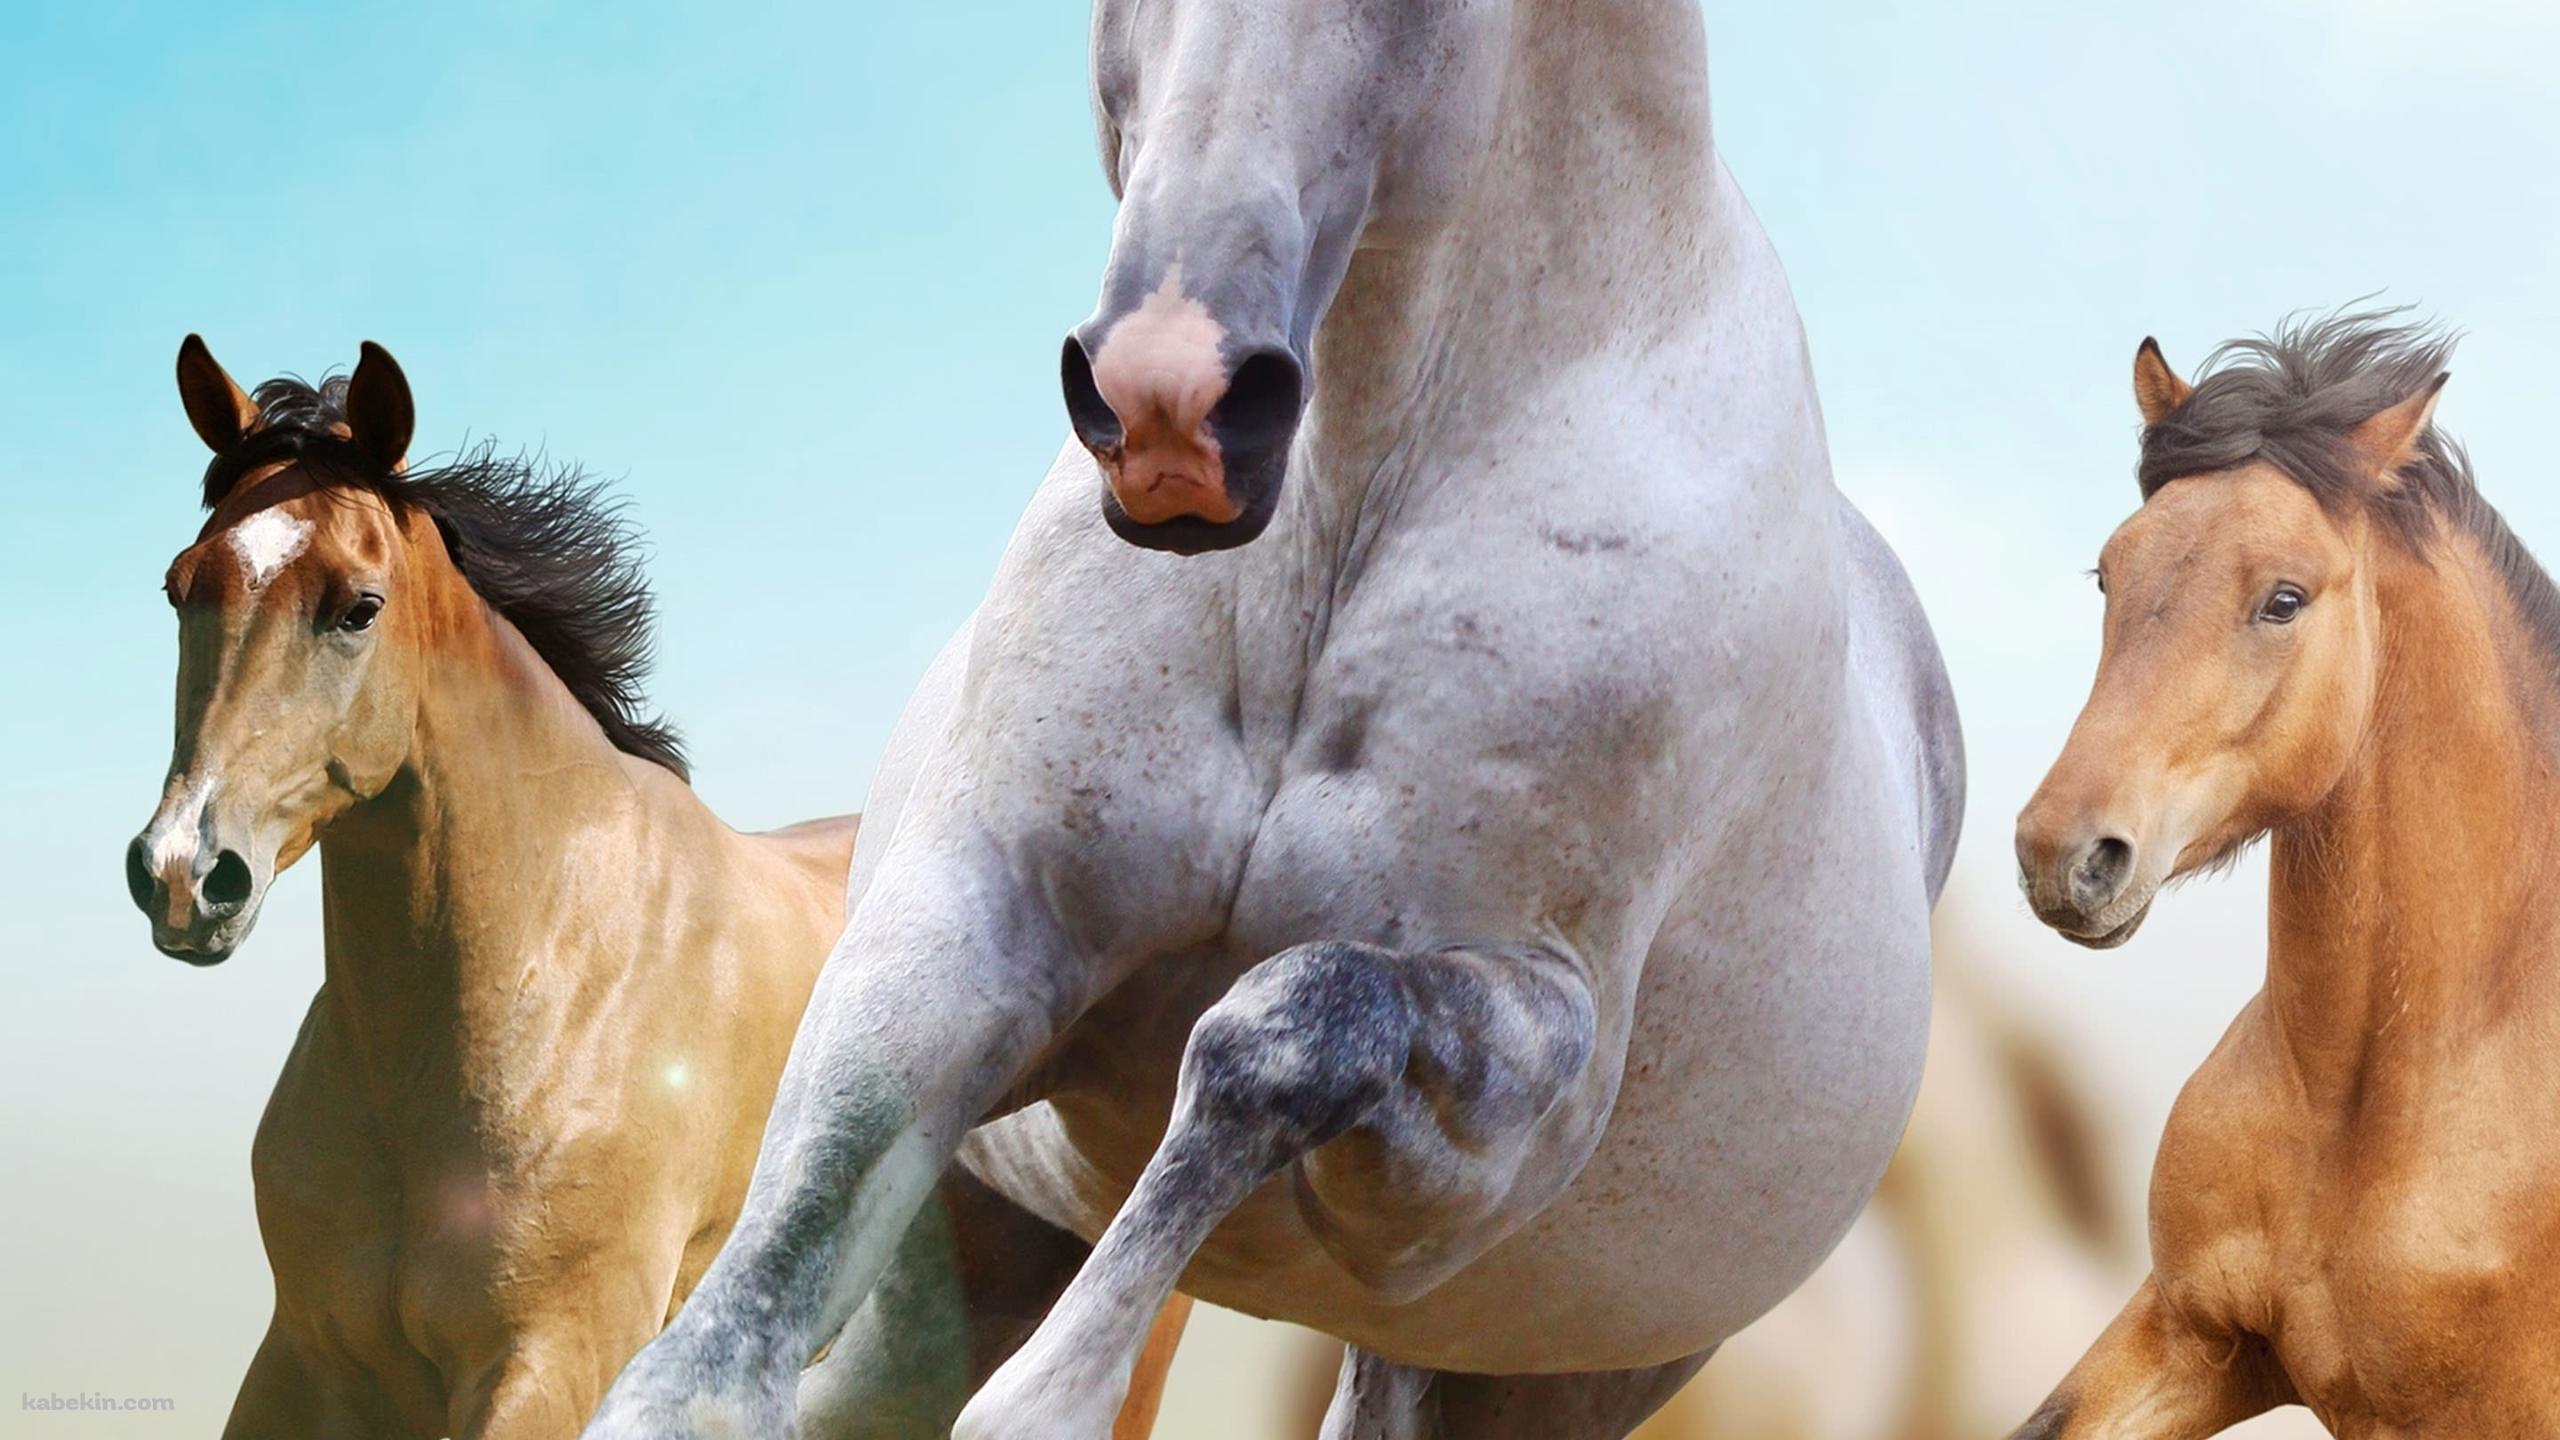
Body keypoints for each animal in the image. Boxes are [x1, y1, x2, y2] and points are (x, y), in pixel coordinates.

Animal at [583, 0, 1963, 1435]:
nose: (1168, 408)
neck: (1337, 537)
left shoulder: (1493, 1133)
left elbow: (1290, 1024)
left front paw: (1052, 1396)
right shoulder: (981, 916)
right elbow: (756, 1281)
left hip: (1539, 1371)